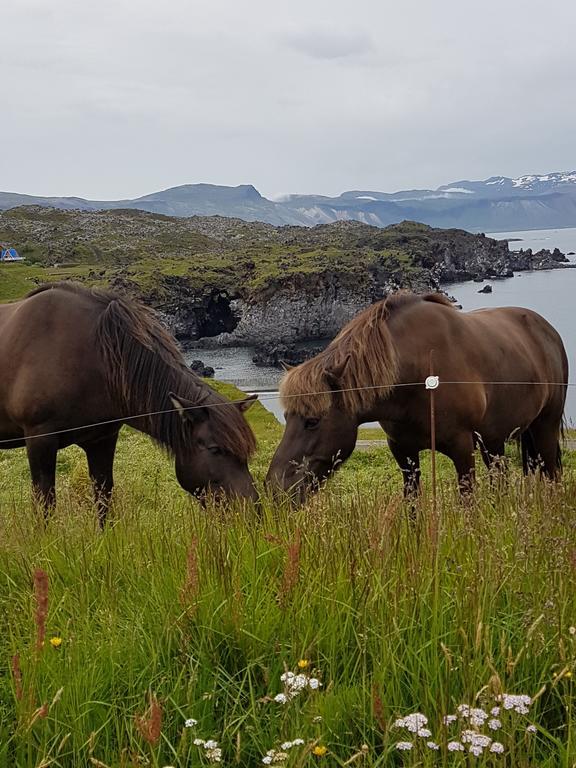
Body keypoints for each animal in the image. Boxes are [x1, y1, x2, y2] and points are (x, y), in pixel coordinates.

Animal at [0, 284, 256, 524]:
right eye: (215, 449)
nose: (252, 512)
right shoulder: (39, 439)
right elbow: (45, 503)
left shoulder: (101, 440)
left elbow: (103, 497)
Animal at [268, 292, 568, 500]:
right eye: (287, 417)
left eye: (312, 421)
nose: (276, 488)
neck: (419, 375)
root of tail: (549, 332)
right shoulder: (404, 452)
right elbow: (412, 504)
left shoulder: (462, 448)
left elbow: (468, 503)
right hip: (493, 441)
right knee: (501, 478)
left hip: (544, 427)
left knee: (552, 474)